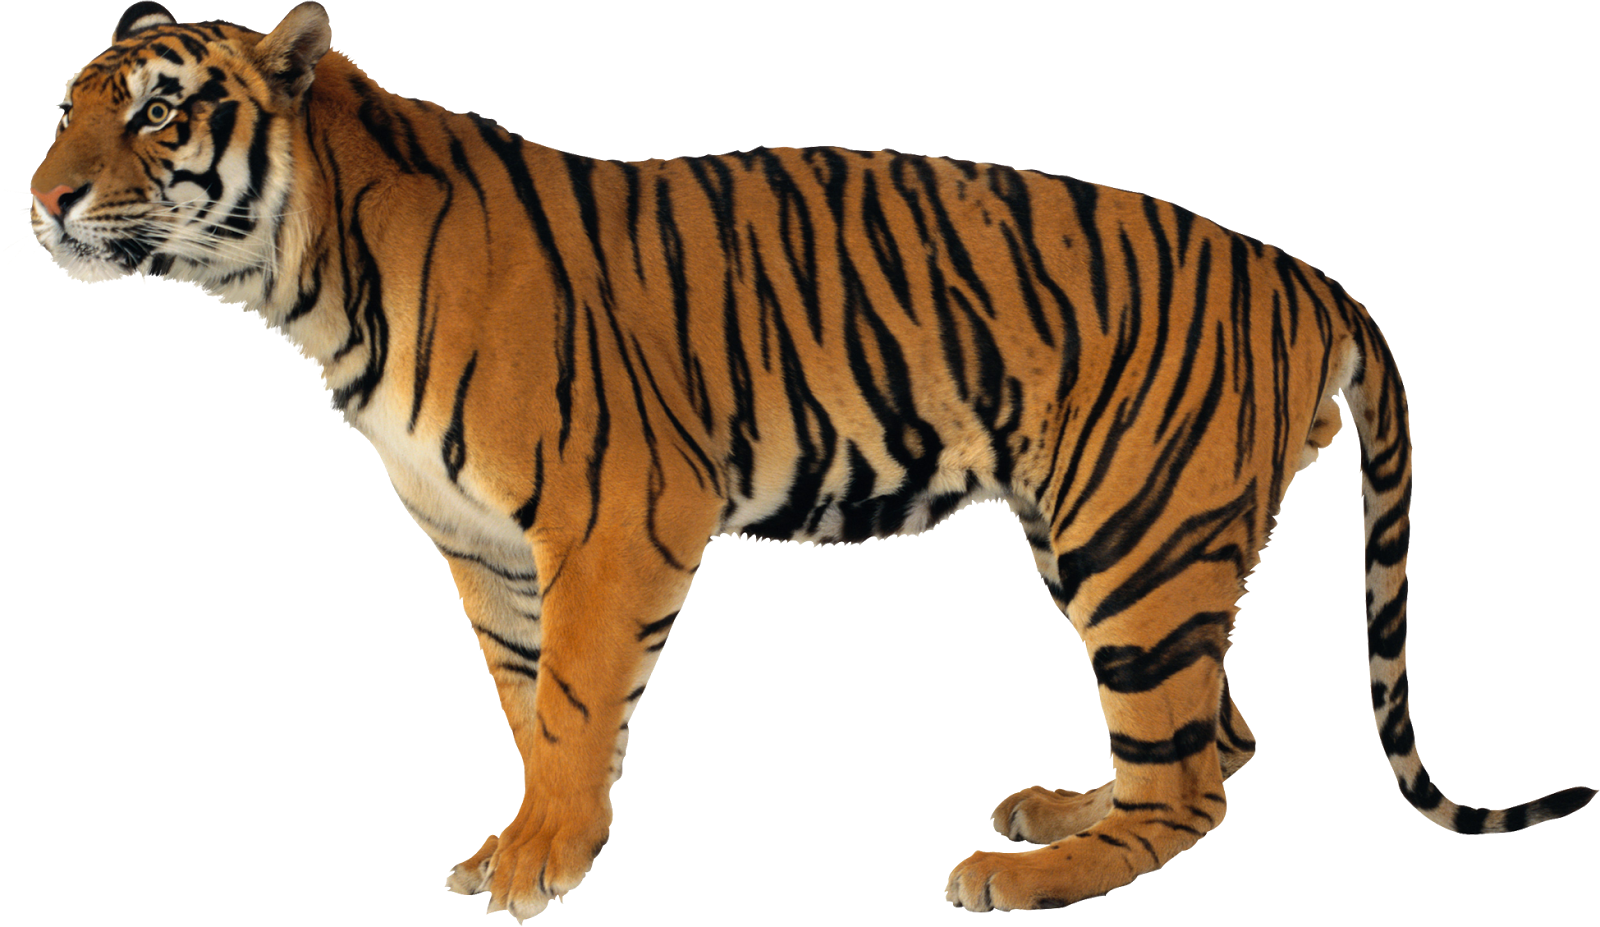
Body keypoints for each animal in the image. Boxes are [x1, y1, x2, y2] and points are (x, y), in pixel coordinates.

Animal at [26, 1, 1595, 919]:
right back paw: (1055, 807)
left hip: (1136, 539)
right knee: (1222, 735)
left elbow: (578, 703)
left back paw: (1025, 873)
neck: (312, 280)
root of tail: (1304, 269)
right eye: (66, 108)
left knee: (1194, 778)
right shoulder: (481, 549)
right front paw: (523, 835)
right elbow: (526, 705)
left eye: (159, 111)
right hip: (1128, 542)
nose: (41, 200)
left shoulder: (615, 520)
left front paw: (544, 861)